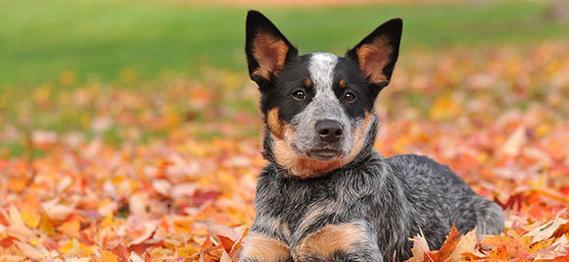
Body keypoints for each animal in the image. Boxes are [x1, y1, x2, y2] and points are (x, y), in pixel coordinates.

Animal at [239, 9, 502, 260]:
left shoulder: (358, 246)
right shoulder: (261, 246)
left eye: (349, 95)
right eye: (299, 94)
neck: (305, 187)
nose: (331, 129)